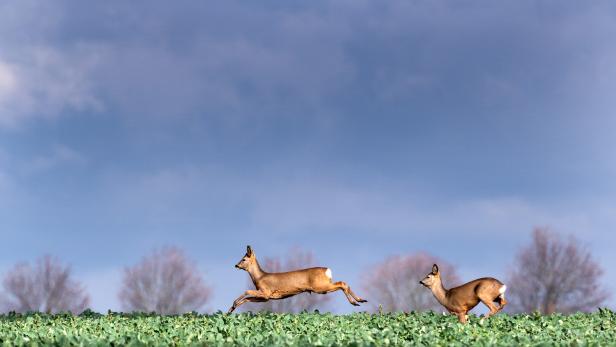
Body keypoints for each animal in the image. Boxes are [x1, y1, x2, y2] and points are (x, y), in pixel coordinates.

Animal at [229, 246, 368, 314]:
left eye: (243, 259)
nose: (236, 265)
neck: (259, 277)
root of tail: (327, 270)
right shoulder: (266, 297)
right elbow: (248, 299)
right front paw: (231, 310)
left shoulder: (266, 292)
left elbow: (247, 292)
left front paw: (234, 303)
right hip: (323, 287)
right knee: (343, 283)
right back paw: (360, 300)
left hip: (320, 286)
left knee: (342, 283)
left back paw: (356, 302)